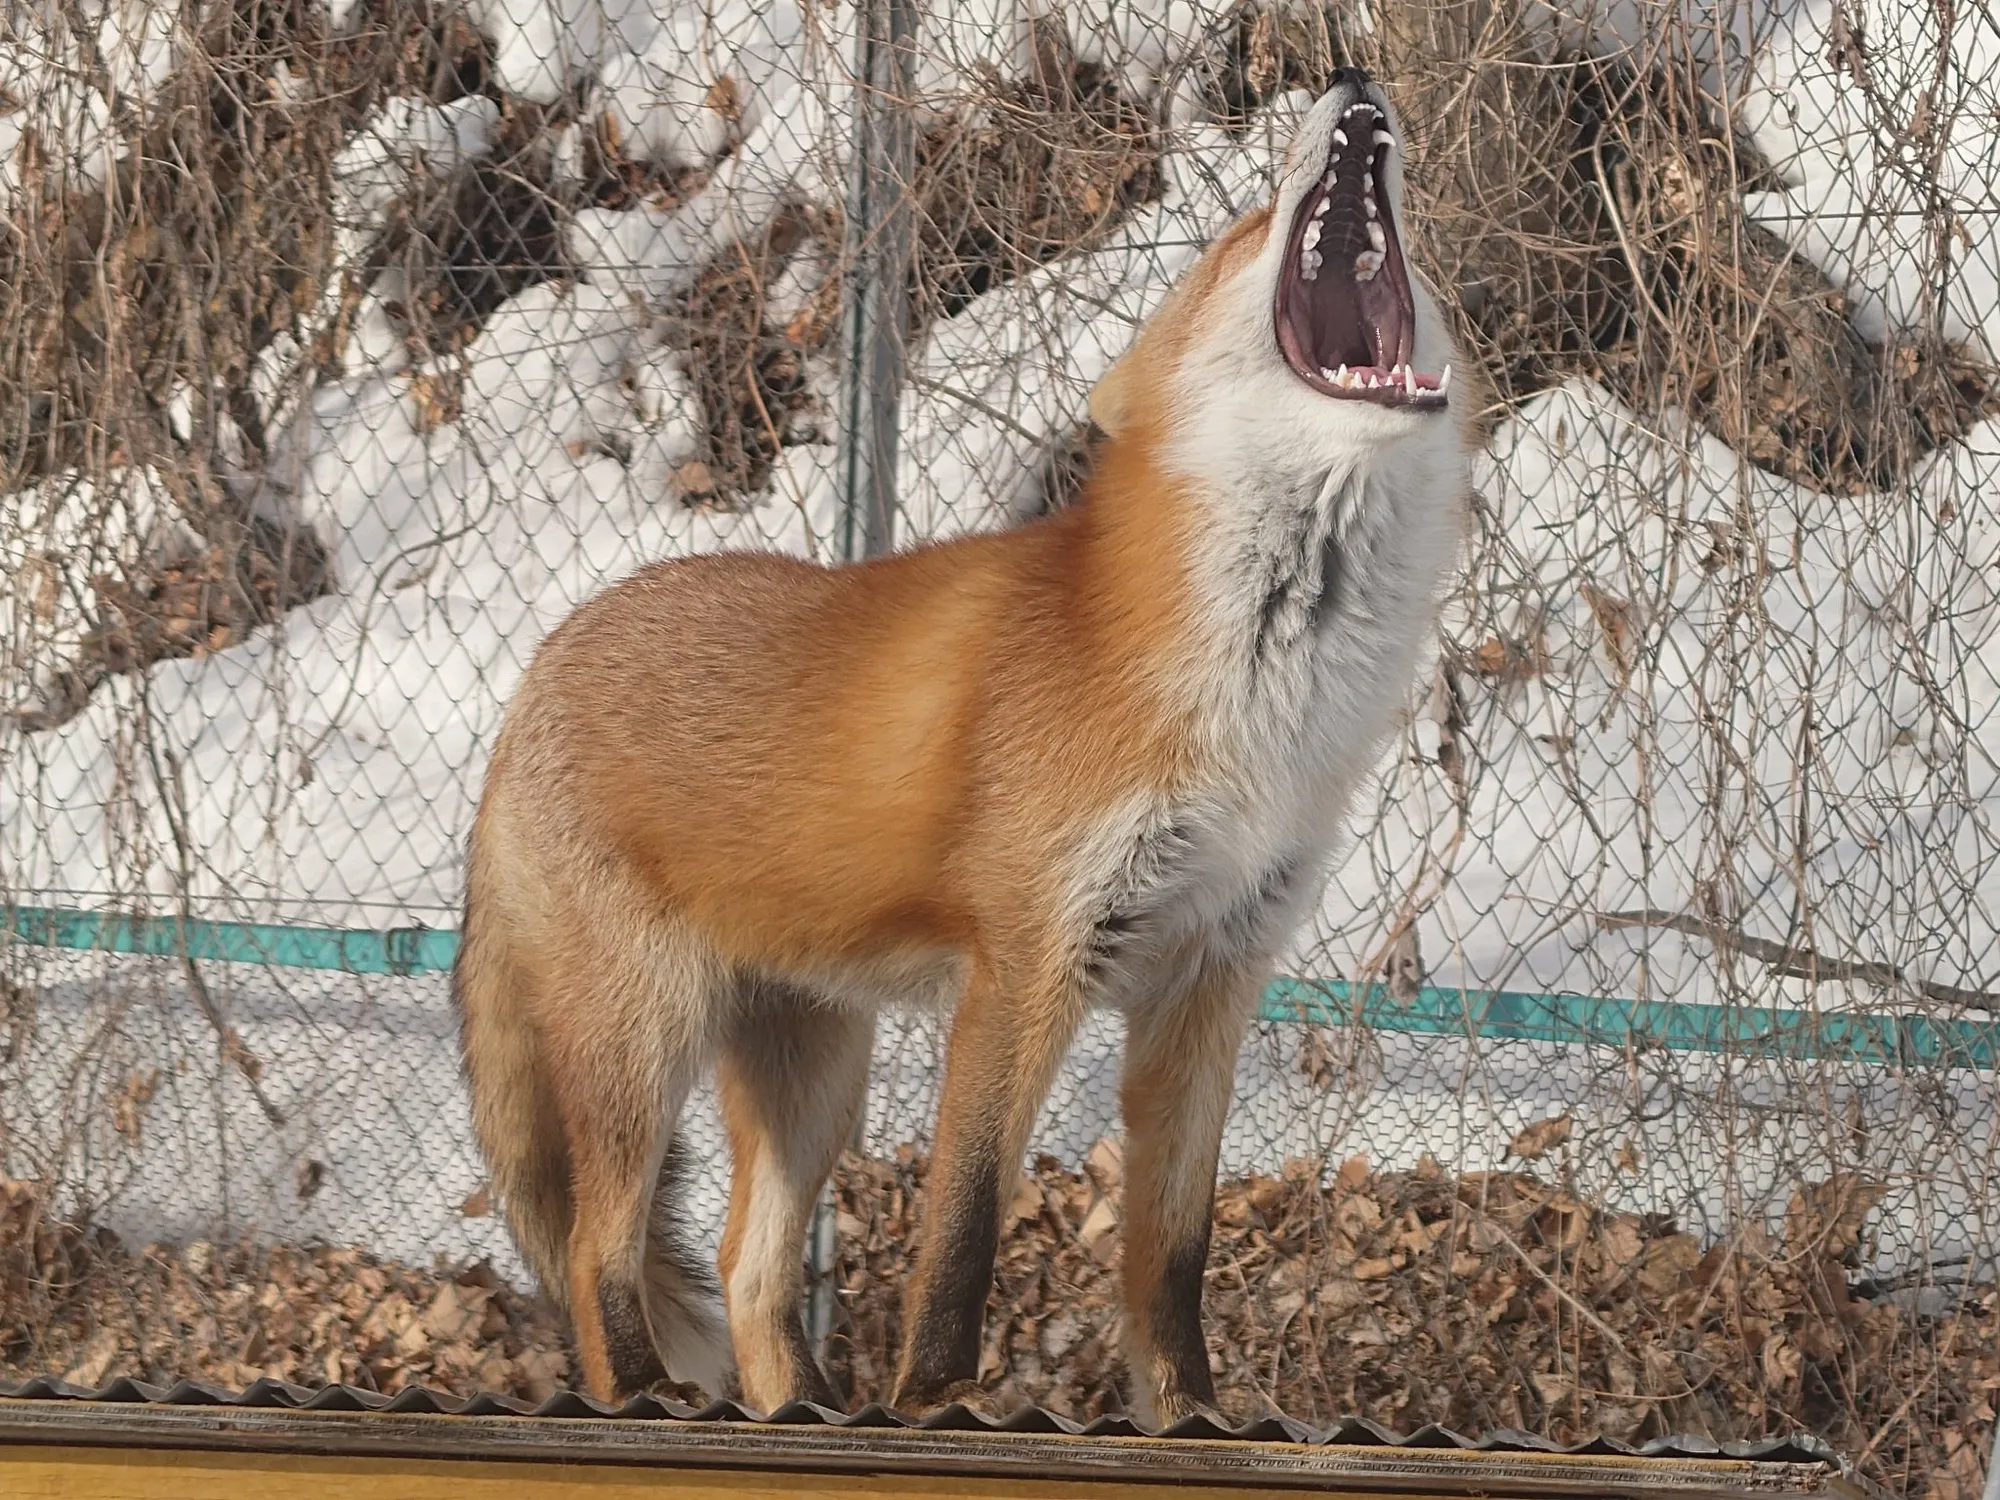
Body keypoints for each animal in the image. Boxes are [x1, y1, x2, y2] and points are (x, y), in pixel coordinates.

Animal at [455, 67, 1473, 1426]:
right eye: (1243, 232)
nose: (1354, 80)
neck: (1264, 709)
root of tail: (536, 673)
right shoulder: (1026, 960)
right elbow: (963, 1230)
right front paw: (933, 1403)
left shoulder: (1212, 972)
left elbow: (1172, 1258)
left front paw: (1187, 1417)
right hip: (642, 1043)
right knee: (593, 1252)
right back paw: (649, 1401)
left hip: (812, 1071)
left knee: (743, 1268)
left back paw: (799, 1407)